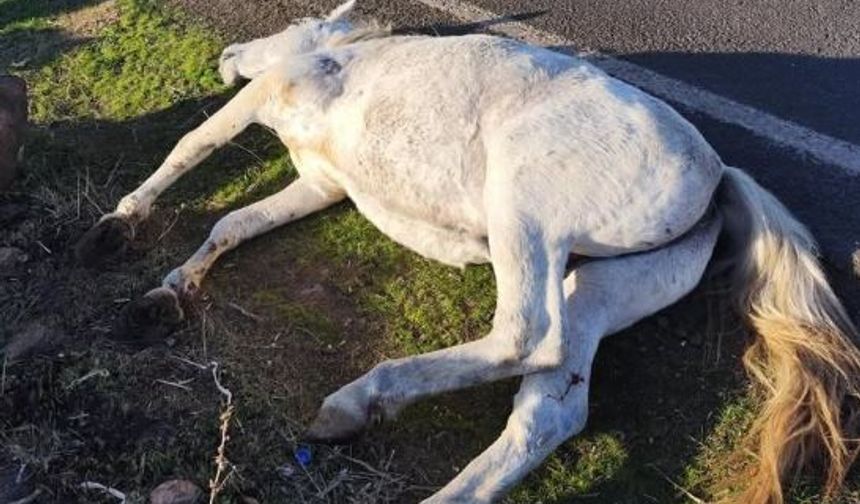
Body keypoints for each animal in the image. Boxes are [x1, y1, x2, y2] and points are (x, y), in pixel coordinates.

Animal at [72, 1, 860, 502]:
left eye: (292, 23)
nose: (228, 55)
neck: (340, 59)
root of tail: (717, 176)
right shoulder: (322, 185)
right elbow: (234, 224)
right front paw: (167, 294)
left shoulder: (263, 97)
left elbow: (190, 146)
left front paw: (118, 226)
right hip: (598, 288)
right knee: (549, 407)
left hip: (525, 210)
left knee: (524, 335)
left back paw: (357, 400)